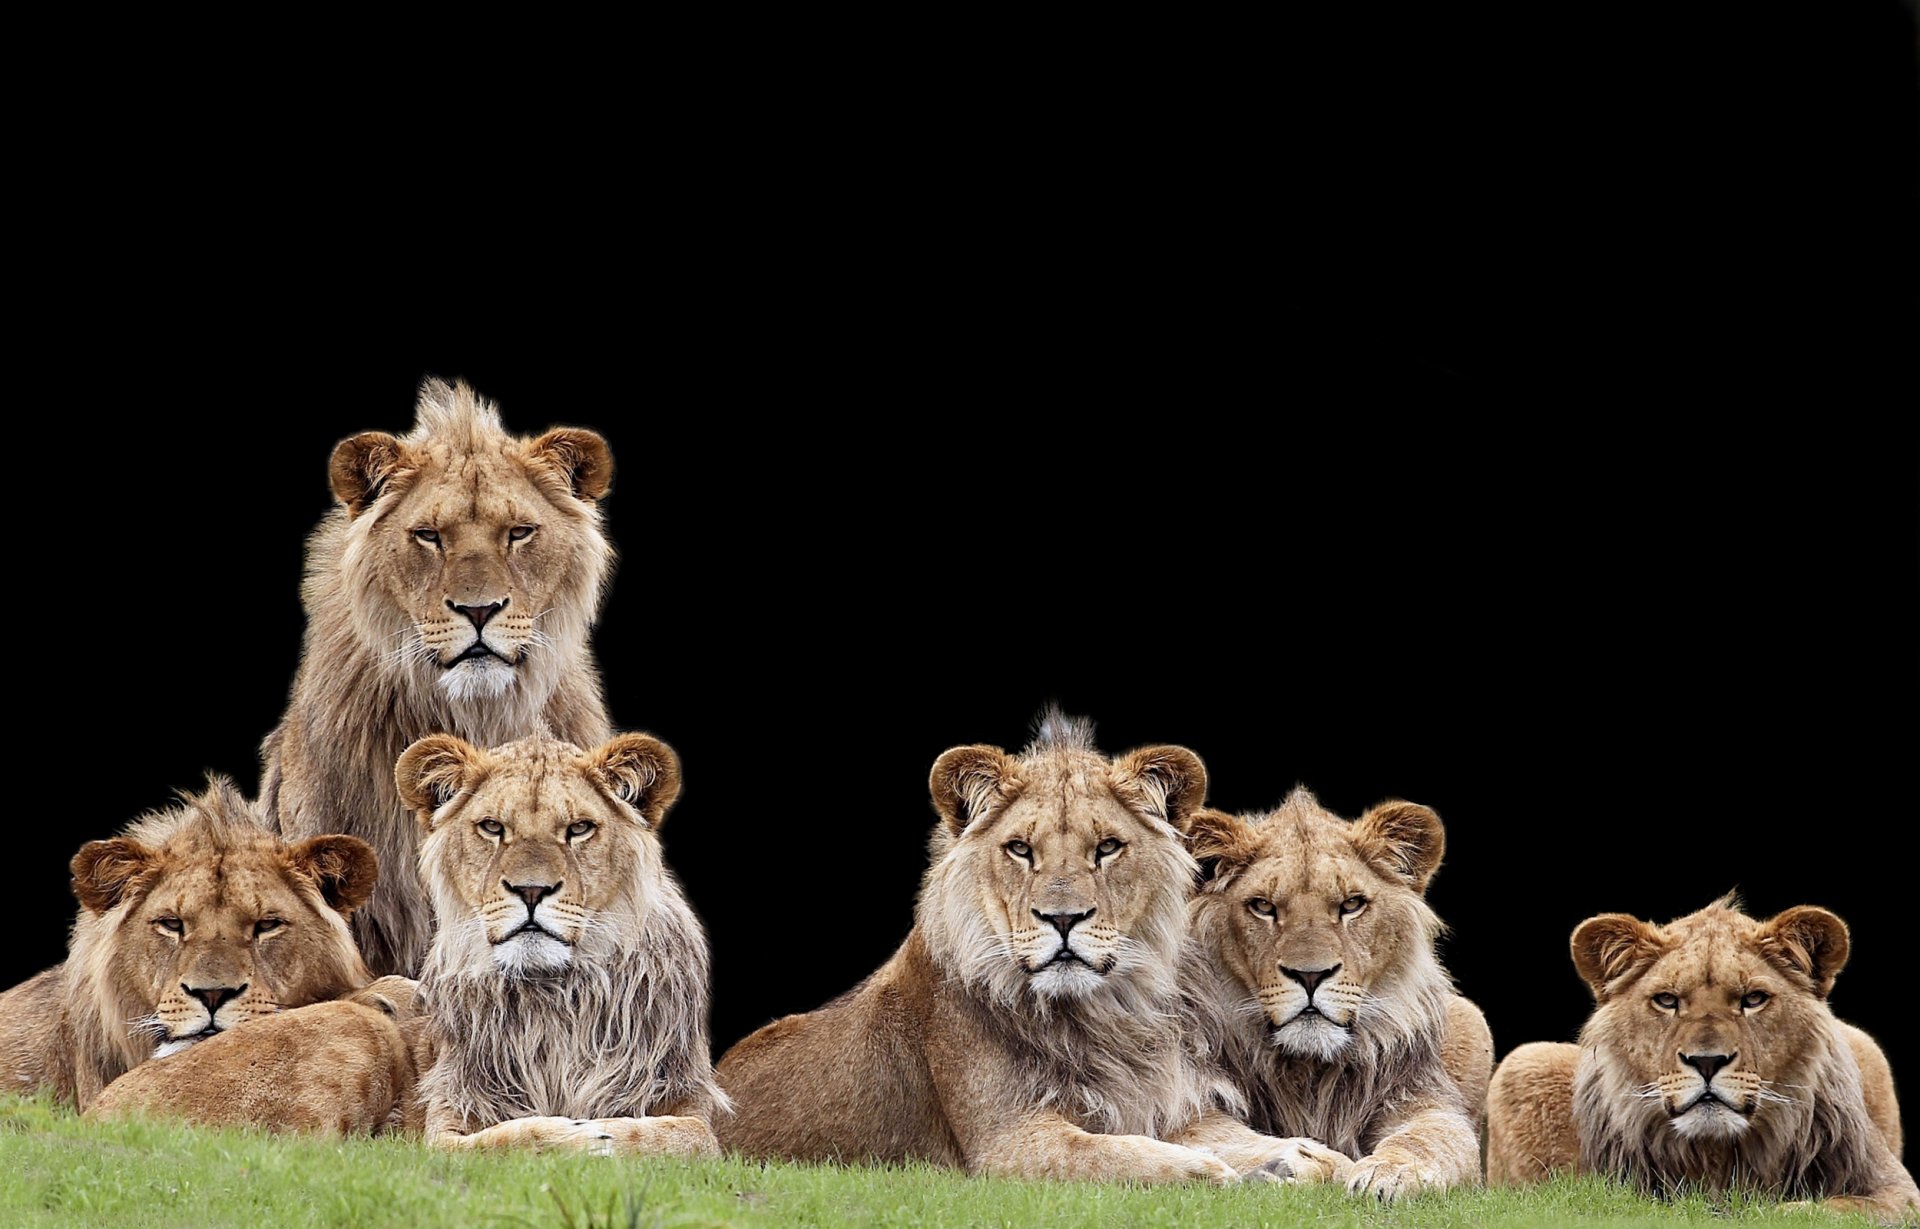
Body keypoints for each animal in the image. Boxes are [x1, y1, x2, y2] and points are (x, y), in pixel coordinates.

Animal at [714, 711, 1349, 1185]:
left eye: (1107, 848)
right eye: (1020, 849)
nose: (1062, 918)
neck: (1100, 1015)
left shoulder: (1160, 1100)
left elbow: (1267, 1144)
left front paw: (1310, 1160)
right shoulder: (1008, 1141)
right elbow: (1111, 1153)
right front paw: (1211, 1171)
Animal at [1182, 790, 1493, 1201]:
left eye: (1351, 904)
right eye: (1263, 906)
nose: (1310, 975)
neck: (1310, 1069)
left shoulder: (1425, 1103)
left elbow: (1432, 1140)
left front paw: (1390, 1172)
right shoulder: (1180, 1106)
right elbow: (1226, 1141)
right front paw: (1314, 1164)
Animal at [1485, 896, 1918, 1224]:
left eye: (1753, 999)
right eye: (1666, 1000)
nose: (1707, 1062)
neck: (1715, 1158)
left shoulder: (1897, 1190)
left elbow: (1831, 1209)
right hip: (1526, 1060)